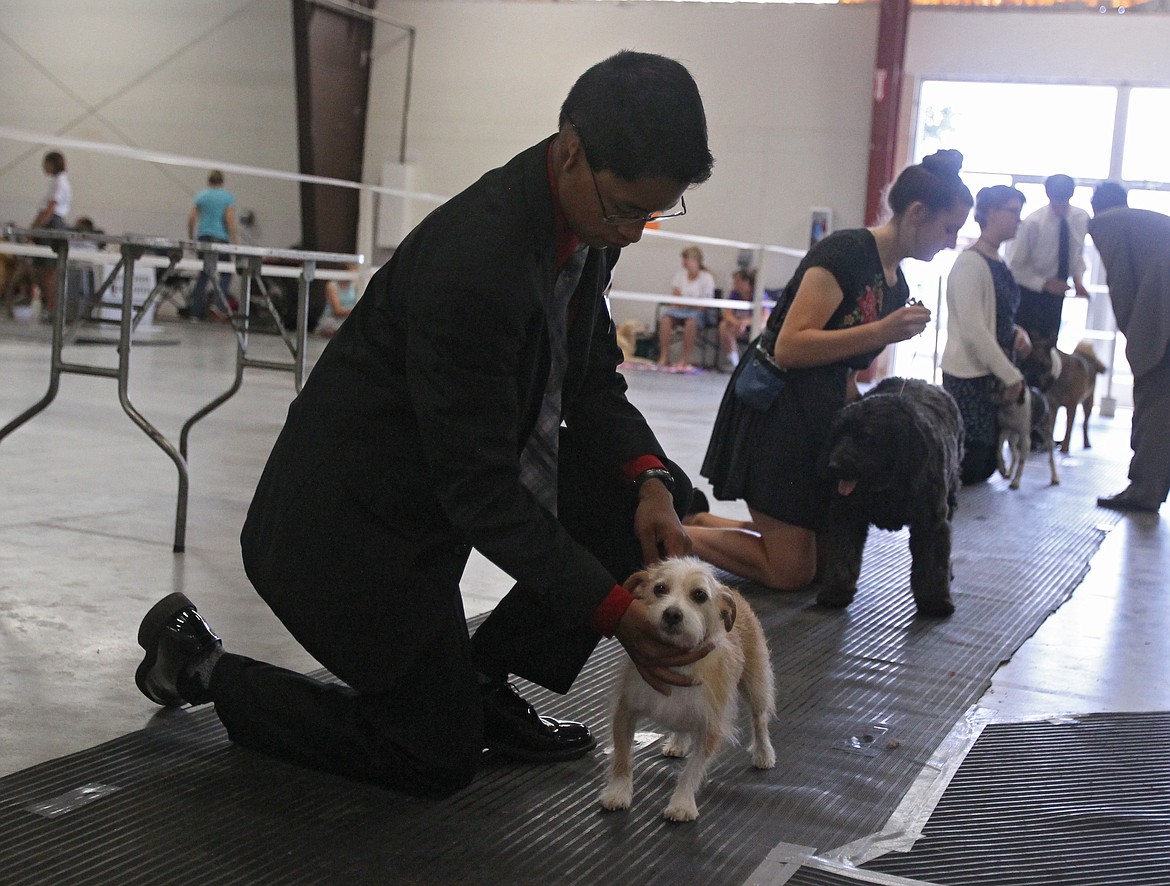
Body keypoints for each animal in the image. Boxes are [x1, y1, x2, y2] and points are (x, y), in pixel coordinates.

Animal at [599, 557, 772, 819]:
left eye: (699, 595)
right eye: (660, 588)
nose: (672, 614)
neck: (679, 664)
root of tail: (734, 593)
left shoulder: (711, 728)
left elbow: (692, 771)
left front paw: (681, 804)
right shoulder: (625, 712)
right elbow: (622, 757)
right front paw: (618, 792)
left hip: (755, 684)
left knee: (759, 720)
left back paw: (763, 754)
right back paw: (678, 743)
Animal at [819, 374, 964, 613]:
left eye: (866, 437)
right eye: (838, 434)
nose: (833, 466)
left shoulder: (931, 522)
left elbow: (933, 560)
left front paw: (934, 600)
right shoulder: (846, 515)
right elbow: (843, 551)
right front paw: (835, 590)